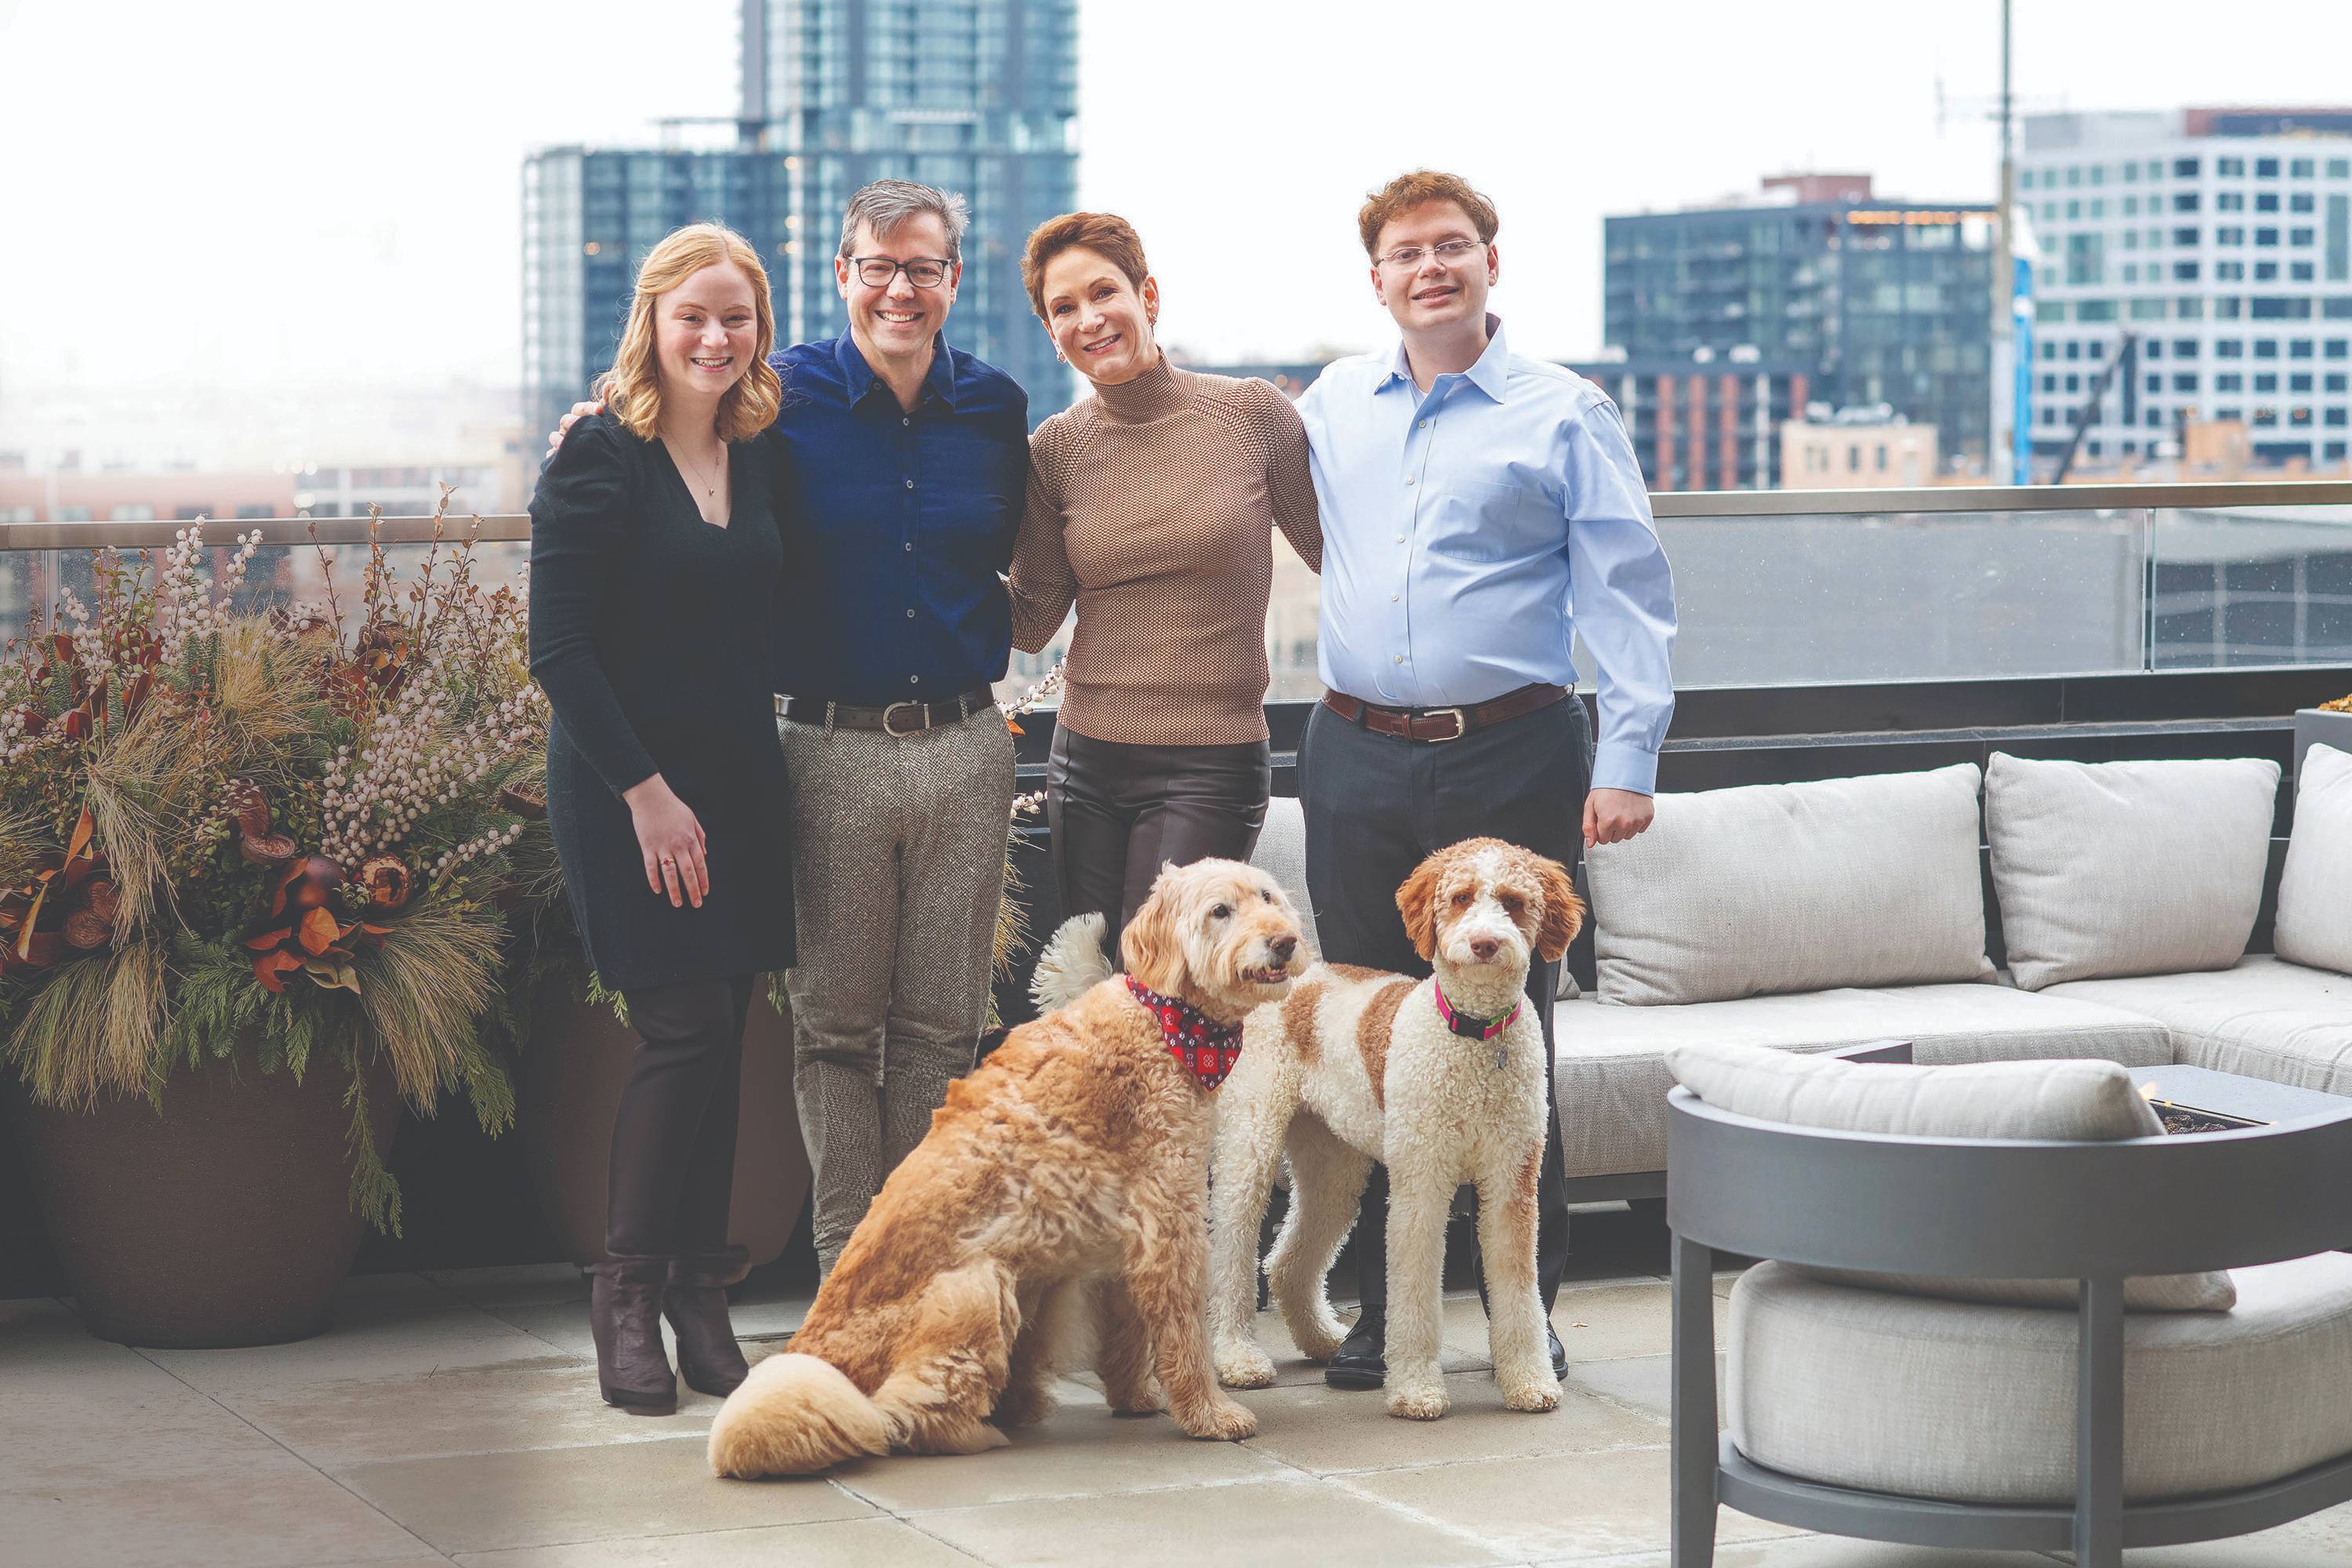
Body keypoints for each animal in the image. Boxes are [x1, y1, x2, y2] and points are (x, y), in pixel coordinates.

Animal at [706, 851, 1317, 1476]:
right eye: (1220, 911)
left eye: (1267, 897)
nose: (1286, 941)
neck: (1167, 1021)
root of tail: (812, 1350)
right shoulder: (1170, 1218)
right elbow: (1182, 1330)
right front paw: (1208, 1414)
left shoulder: (1129, 1233)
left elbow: (1126, 1330)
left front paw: (1135, 1397)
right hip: (977, 1288)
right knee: (905, 1412)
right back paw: (978, 1430)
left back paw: (1017, 1402)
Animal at [1214, 841, 1581, 1429]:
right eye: (1460, 898)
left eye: (1513, 901)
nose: (1485, 943)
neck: (1472, 1039)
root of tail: (1293, 977)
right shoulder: (1421, 1183)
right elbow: (1412, 1289)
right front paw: (1415, 1391)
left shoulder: (1512, 1181)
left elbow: (1518, 1287)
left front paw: (1529, 1381)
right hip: (1252, 1140)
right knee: (1233, 1248)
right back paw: (1238, 1358)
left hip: (1333, 1164)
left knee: (1288, 1259)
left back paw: (1323, 1340)